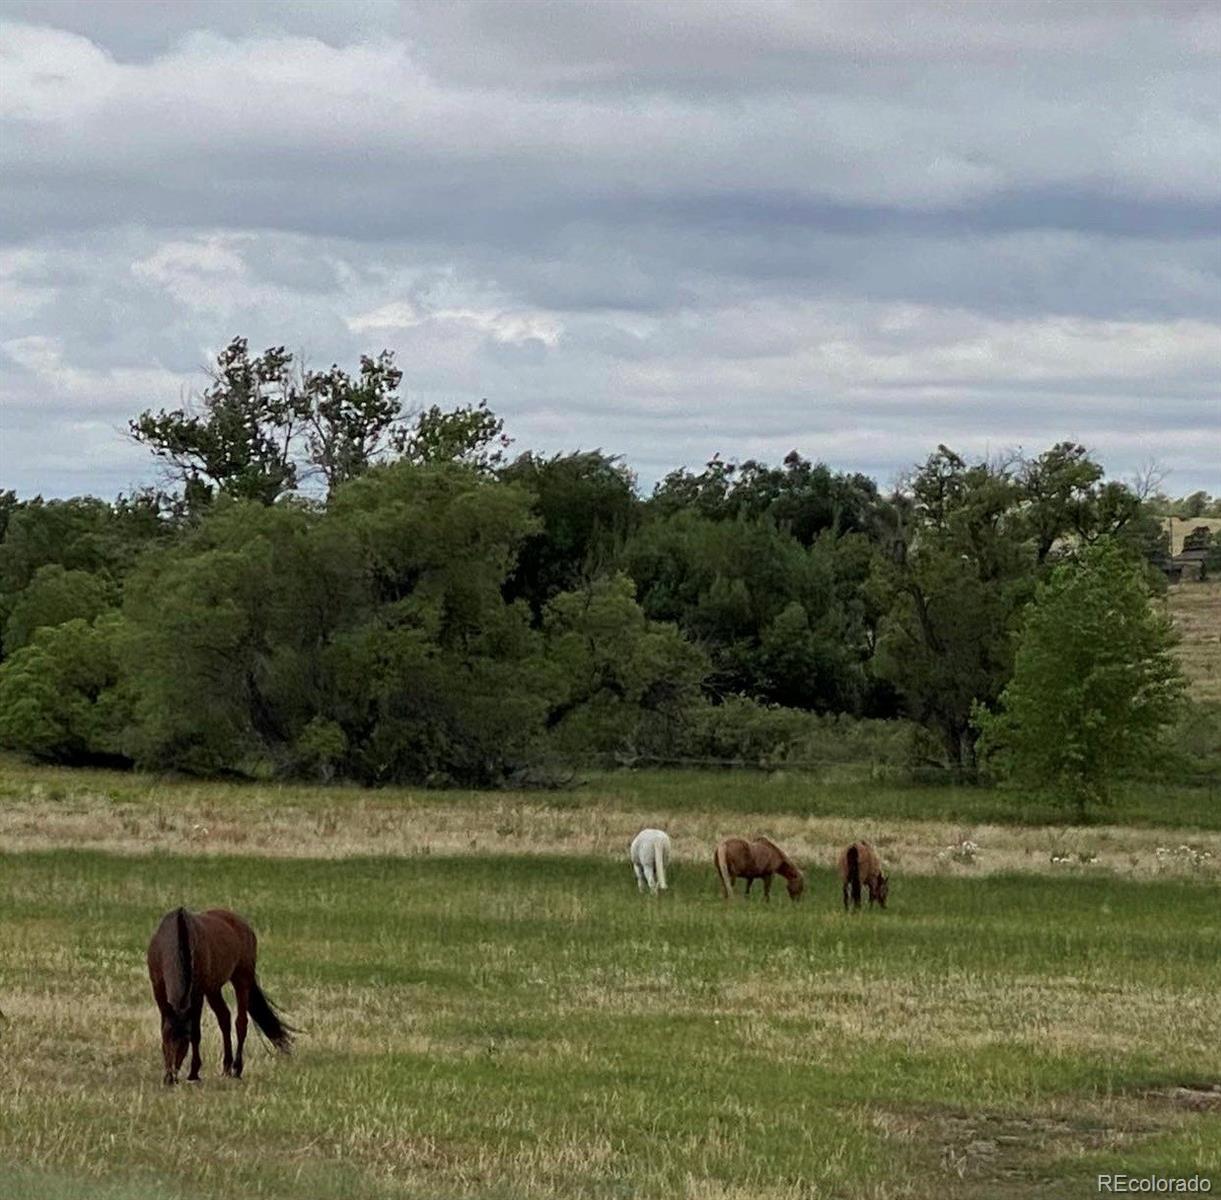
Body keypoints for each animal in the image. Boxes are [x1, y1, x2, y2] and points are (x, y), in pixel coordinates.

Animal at [148, 903, 295, 1084]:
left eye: (185, 1041)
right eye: (167, 1037)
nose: (172, 1078)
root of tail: (243, 924)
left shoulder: (197, 994)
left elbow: (196, 1032)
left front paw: (194, 1073)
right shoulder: (159, 990)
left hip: (241, 979)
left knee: (241, 1022)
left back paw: (236, 1069)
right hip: (213, 989)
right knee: (224, 1018)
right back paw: (226, 1067)